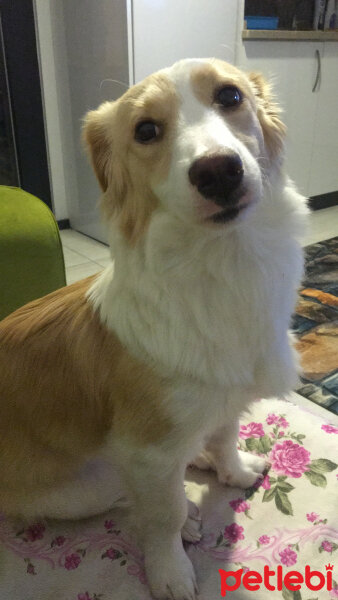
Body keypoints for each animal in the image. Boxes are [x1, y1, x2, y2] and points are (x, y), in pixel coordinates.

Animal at [0, 57, 308, 600]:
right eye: (145, 131)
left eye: (230, 96)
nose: (218, 171)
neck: (224, 264)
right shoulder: (146, 449)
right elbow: (162, 515)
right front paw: (171, 571)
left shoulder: (226, 397)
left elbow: (225, 436)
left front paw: (233, 472)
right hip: (85, 486)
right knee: (131, 497)